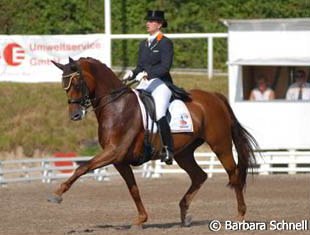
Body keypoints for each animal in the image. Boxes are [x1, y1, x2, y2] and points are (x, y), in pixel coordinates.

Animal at [49, 57, 258, 228]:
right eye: (63, 85)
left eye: (77, 82)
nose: (75, 115)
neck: (116, 106)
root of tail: (214, 96)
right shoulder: (119, 160)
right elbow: (133, 189)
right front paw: (141, 219)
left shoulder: (114, 152)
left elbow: (82, 168)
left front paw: (57, 193)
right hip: (184, 153)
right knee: (199, 176)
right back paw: (184, 215)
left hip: (221, 146)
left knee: (234, 176)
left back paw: (240, 215)